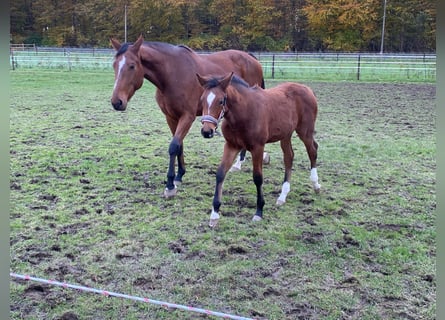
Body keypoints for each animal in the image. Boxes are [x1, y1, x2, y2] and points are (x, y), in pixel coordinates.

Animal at [110, 35, 264, 198]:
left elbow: (173, 146)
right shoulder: (171, 117)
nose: (116, 102)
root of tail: (251, 58)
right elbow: (179, 145)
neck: (171, 74)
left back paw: (239, 163)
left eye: (132, 66)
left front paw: (170, 185)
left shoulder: (187, 117)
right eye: (114, 65)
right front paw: (179, 176)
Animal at [197, 72, 320, 228]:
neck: (243, 113)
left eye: (220, 101)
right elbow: (220, 174)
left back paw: (316, 184)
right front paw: (214, 214)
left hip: (305, 131)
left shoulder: (258, 147)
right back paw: (282, 196)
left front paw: (259, 211)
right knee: (289, 157)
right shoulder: (231, 145)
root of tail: (307, 89)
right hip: (286, 134)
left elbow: (257, 178)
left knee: (312, 151)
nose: (207, 131)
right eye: (202, 100)